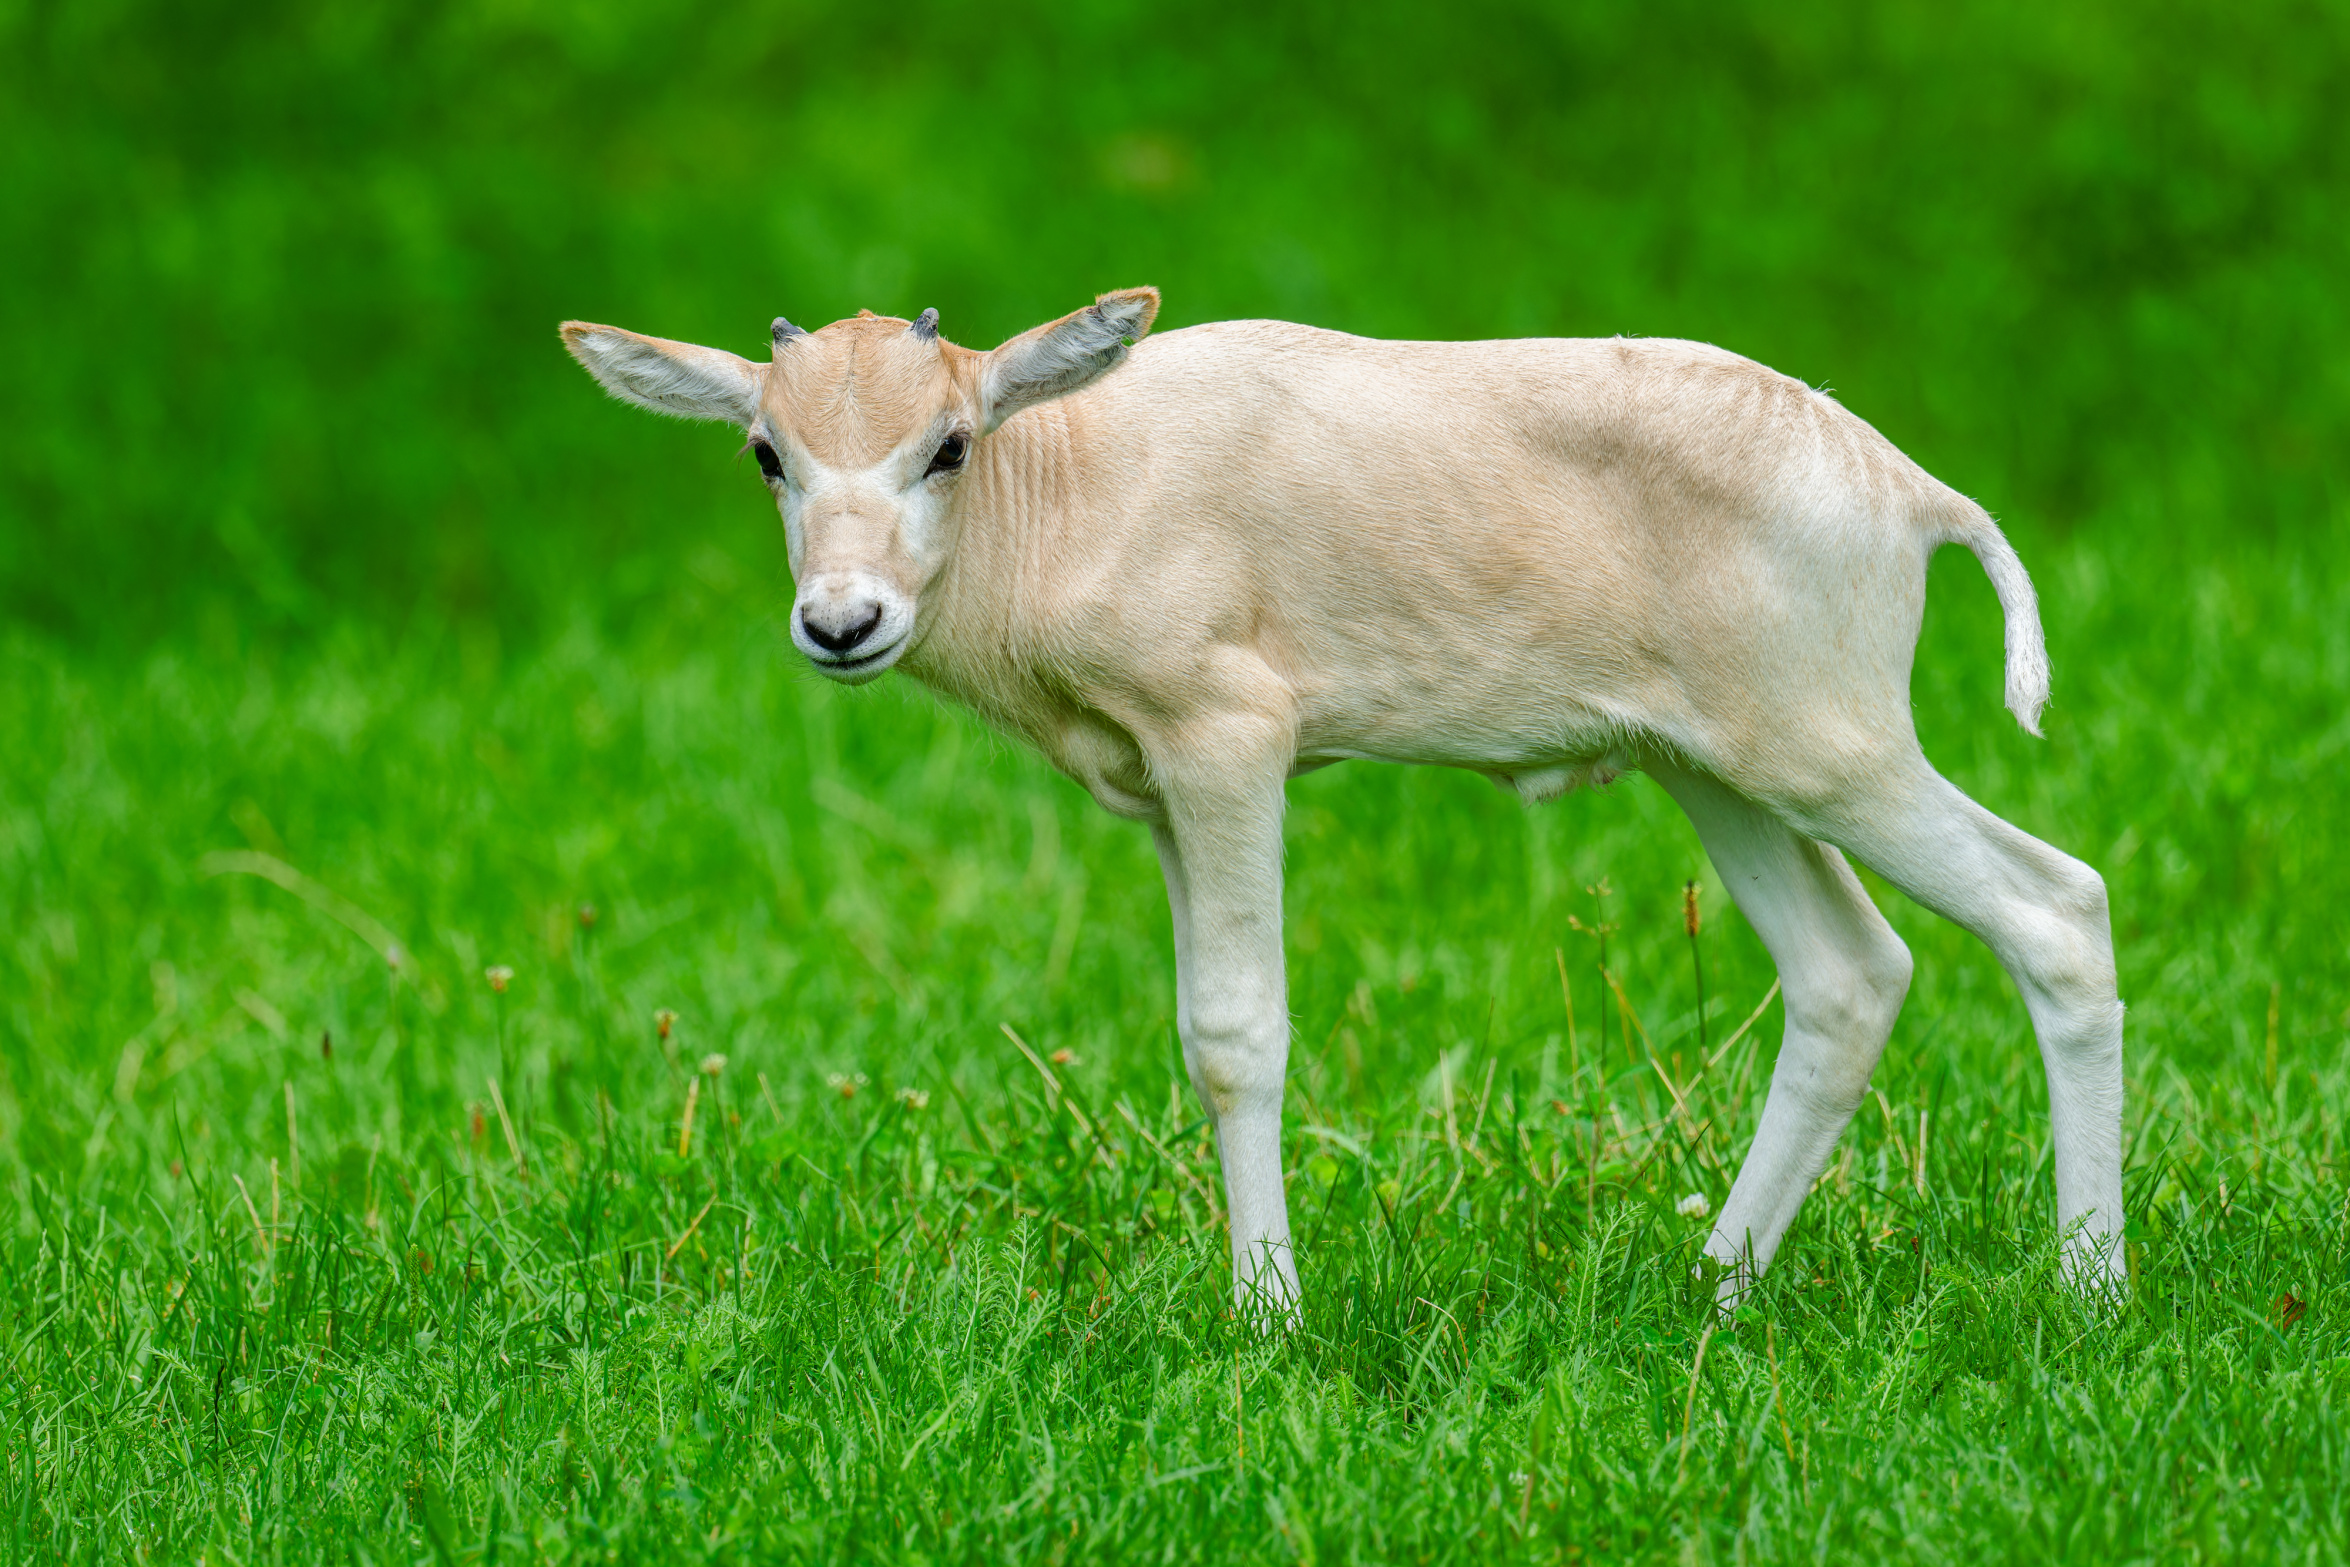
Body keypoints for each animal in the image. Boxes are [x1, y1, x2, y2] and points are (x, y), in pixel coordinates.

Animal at [564, 291, 2133, 1315]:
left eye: (946, 442)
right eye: (768, 451)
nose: (843, 622)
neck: (1077, 466)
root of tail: (1907, 491)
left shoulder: (1228, 748)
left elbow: (1239, 1031)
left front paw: (1268, 1317)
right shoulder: (1159, 795)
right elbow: (1199, 1029)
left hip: (1832, 754)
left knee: (2054, 909)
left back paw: (2088, 1295)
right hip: (1718, 770)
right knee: (1848, 973)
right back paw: (1712, 1290)